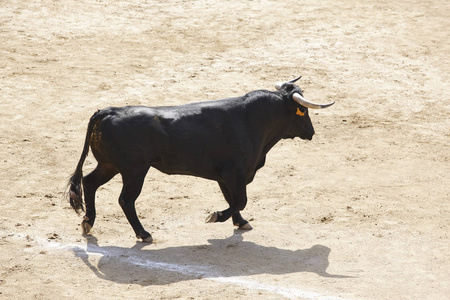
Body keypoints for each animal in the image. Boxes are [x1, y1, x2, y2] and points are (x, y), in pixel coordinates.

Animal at [67, 78, 334, 243]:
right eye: (304, 111)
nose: (311, 132)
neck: (254, 120)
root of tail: (107, 111)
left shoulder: (224, 177)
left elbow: (234, 200)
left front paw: (240, 222)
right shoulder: (234, 173)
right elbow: (240, 200)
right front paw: (216, 216)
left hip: (109, 166)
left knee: (89, 183)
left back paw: (88, 222)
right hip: (135, 171)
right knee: (125, 200)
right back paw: (144, 234)